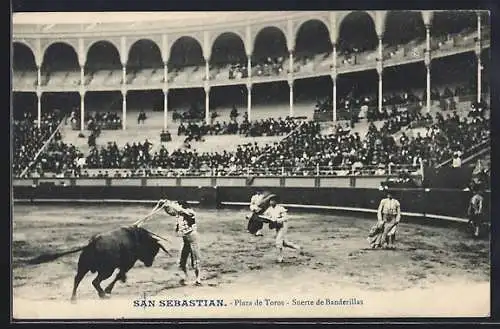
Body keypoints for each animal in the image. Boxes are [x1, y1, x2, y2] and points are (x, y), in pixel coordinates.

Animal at [27, 226, 172, 300]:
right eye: (153, 251)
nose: (150, 264)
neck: (138, 239)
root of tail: (92, 243)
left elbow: (120, 275)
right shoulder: (127, 264)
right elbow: (119, 275)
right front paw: (109, 289)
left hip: (83, 267)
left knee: (77, 279)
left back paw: (74, 298)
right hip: (107, 270)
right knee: (95, 281)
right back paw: (102, 294)